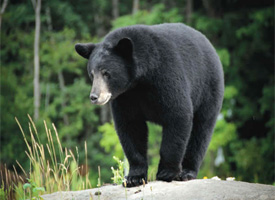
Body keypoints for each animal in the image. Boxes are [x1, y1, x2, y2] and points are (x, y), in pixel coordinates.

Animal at [75, 23, 224, 188]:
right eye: (92, 74)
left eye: (106, 73)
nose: (94, 97)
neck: (140, 81)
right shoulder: (126, 97)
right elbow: (130, 127)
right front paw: (134, 177)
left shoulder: (166, 74)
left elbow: (178, 114)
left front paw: (167, 172)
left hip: (208, 89)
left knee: (201, 131)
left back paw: (187, 172)